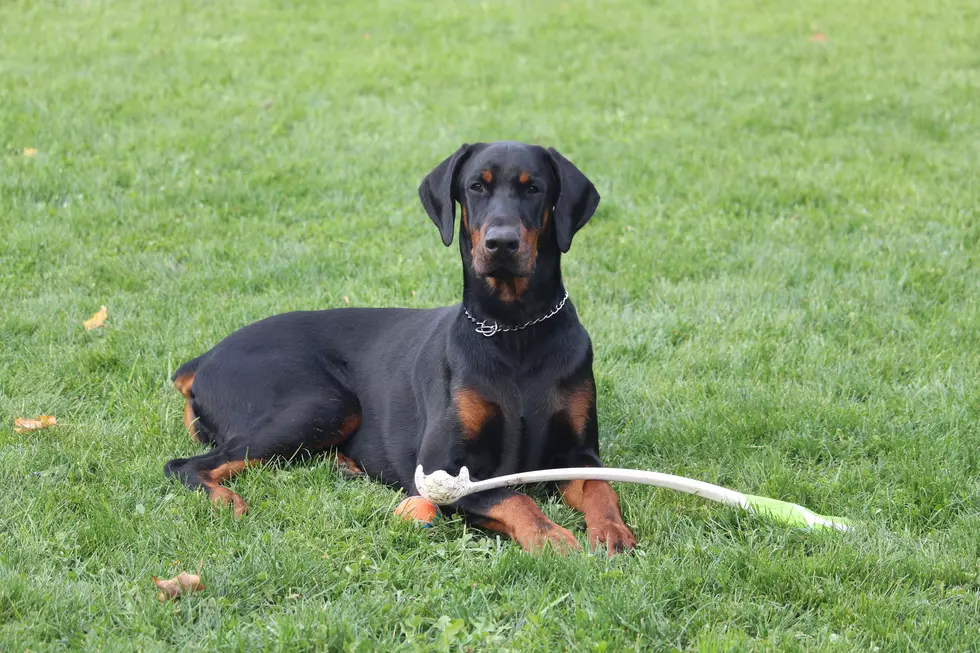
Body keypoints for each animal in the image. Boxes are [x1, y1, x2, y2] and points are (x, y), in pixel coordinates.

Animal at [165, 143, 640, 556]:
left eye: (534, 187)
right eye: (476, 186)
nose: (501, 243)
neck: (515, 331)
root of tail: (205, 359)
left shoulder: (578, 454)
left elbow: (602, 487)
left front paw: (612, 532)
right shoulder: (441, 466)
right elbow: (513, 498)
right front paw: (550, 536)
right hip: (324, 401)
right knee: (183, 464)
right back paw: (226, 500)